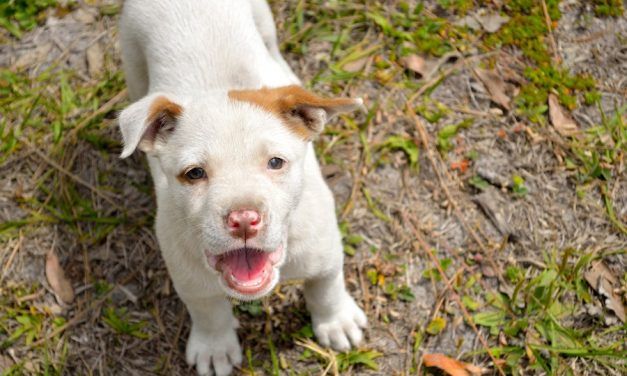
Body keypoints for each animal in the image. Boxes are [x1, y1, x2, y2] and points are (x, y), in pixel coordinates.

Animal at [118, 1, 368, 374]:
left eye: (276, 163)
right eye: (194, 173)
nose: (244, 219)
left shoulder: (324, 249)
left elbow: (326, 285)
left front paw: (336, 321)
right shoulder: (189, 276)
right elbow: (208, 311)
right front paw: (215, 347)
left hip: (262, 19)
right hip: (132, 53)